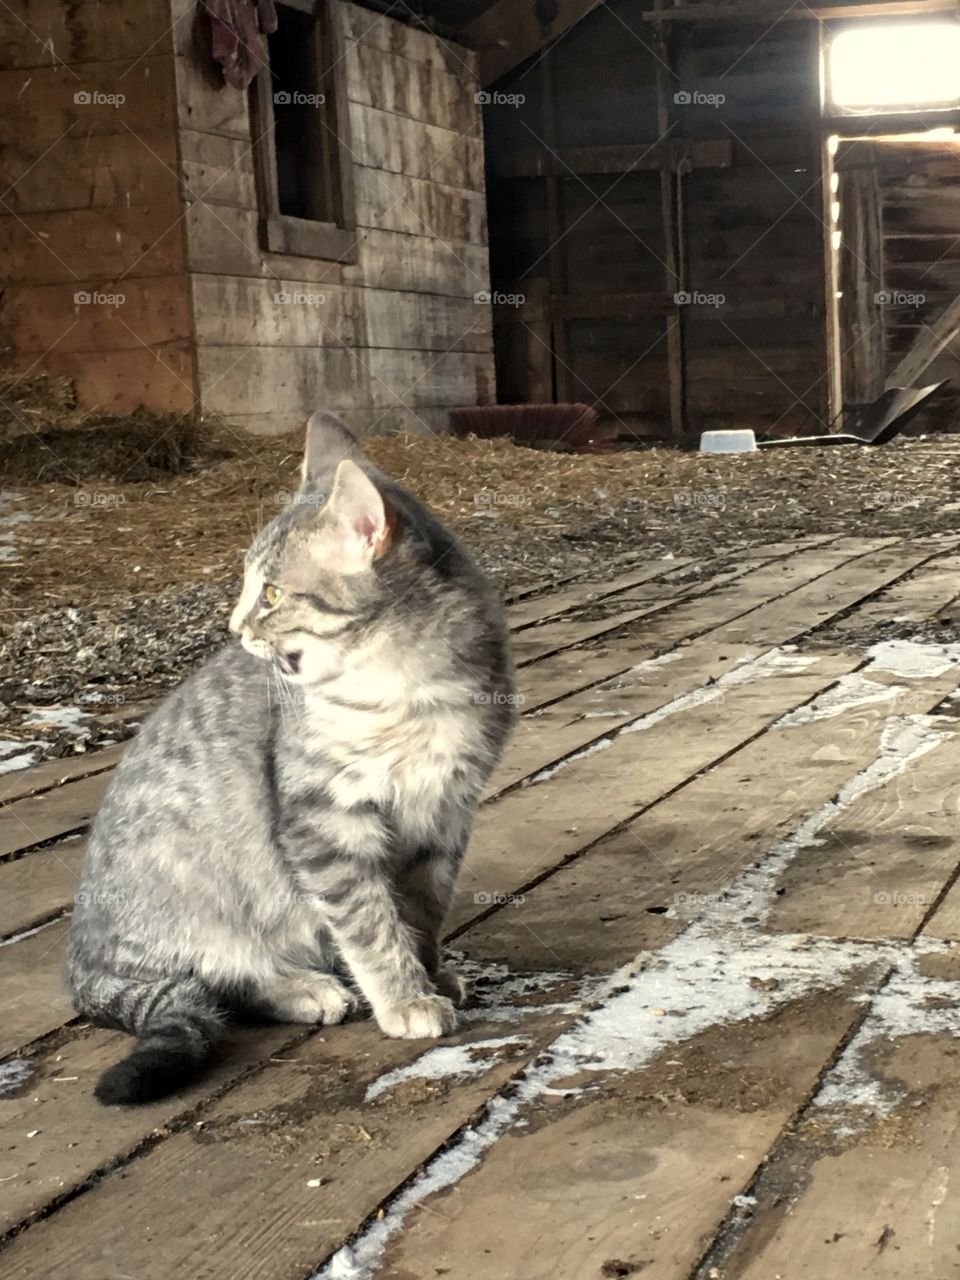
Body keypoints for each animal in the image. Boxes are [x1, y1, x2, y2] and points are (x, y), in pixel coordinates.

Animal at [65, 409, 519, 1100]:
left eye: (273, 595)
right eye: (251, 589)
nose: (234, 627)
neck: (409, 691)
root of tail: (81, 959)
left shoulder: (444, 815)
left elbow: (422, 911)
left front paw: (428, 972)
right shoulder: (324, 821)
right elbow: (369, 922)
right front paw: (404, 996)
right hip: (198, 898)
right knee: (212, 980)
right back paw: (305, 988)